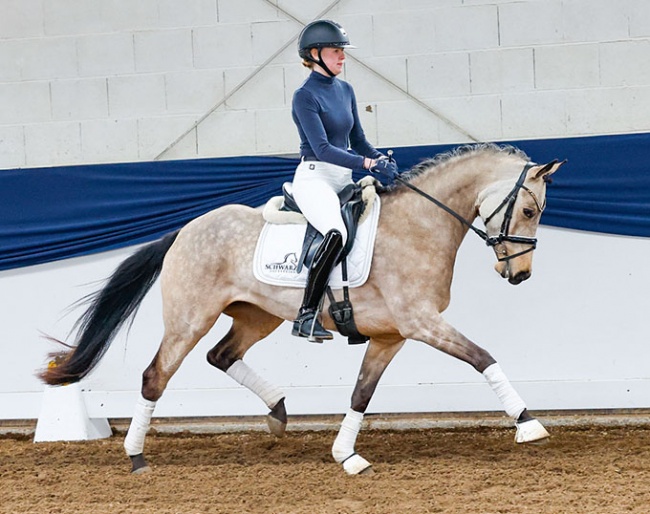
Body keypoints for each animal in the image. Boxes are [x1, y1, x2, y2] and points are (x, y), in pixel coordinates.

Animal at [39, 143, 560, 472]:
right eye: (529, 211)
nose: (520, 274)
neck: (420, 225)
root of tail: (185, 230)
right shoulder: (421, 322)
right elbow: (482, 357)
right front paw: (528, 424)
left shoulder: (391, 335)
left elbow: (361, 395)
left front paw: (347, 456)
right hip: (189, 319)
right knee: (156, 375)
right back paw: (135, 456)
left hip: (258, 315)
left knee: (222, 355)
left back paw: (278, 410)